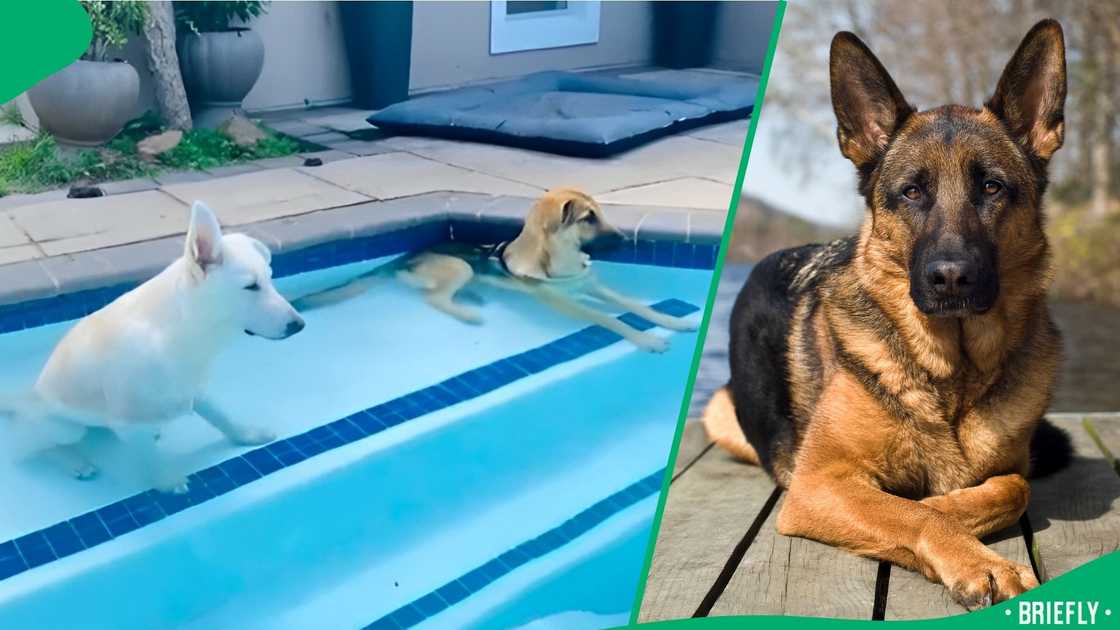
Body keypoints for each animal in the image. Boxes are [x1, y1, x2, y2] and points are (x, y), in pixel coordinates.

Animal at [6, 200, 304, 490]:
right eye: (251, 286)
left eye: (270, 279)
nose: (300, 325)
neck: (184, 329)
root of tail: (26, 398)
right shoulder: (127, 422)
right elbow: (149, 457)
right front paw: (166, 481)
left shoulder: (197, 389)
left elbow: (222, 416)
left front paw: (245, 435)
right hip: (63, 428)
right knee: (39, 446)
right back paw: (73, 461)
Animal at [293, 188, 694, 349]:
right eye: (588, 218)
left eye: (602, 212)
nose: (626, 240)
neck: (560, 259)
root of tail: (402, 257)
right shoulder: (565, 301)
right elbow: (610, 319)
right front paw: (646, 340)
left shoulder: (589, 285)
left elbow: (635, 305)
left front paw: (673, 321)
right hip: (460, 266)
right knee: (434, 299)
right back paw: (469, 314)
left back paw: (475, 300)